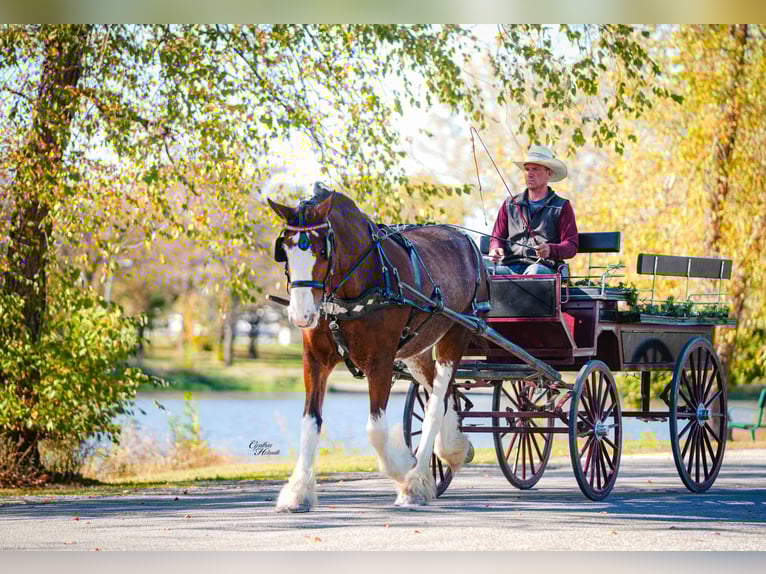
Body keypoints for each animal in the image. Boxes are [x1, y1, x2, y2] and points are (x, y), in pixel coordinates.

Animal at [267, 186, 489, 511]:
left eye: (323, 252)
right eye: (284, 250)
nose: (300, 315)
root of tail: (464, 239)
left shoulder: (381, 360)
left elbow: (375, 429)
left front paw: (403, 465)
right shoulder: (315, 360)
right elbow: (310, 421)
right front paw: (298, 491)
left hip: (457, 333)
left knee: (436, 403)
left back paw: (416, 481)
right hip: (416, 351)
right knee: (443, 393)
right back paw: (452, 449)